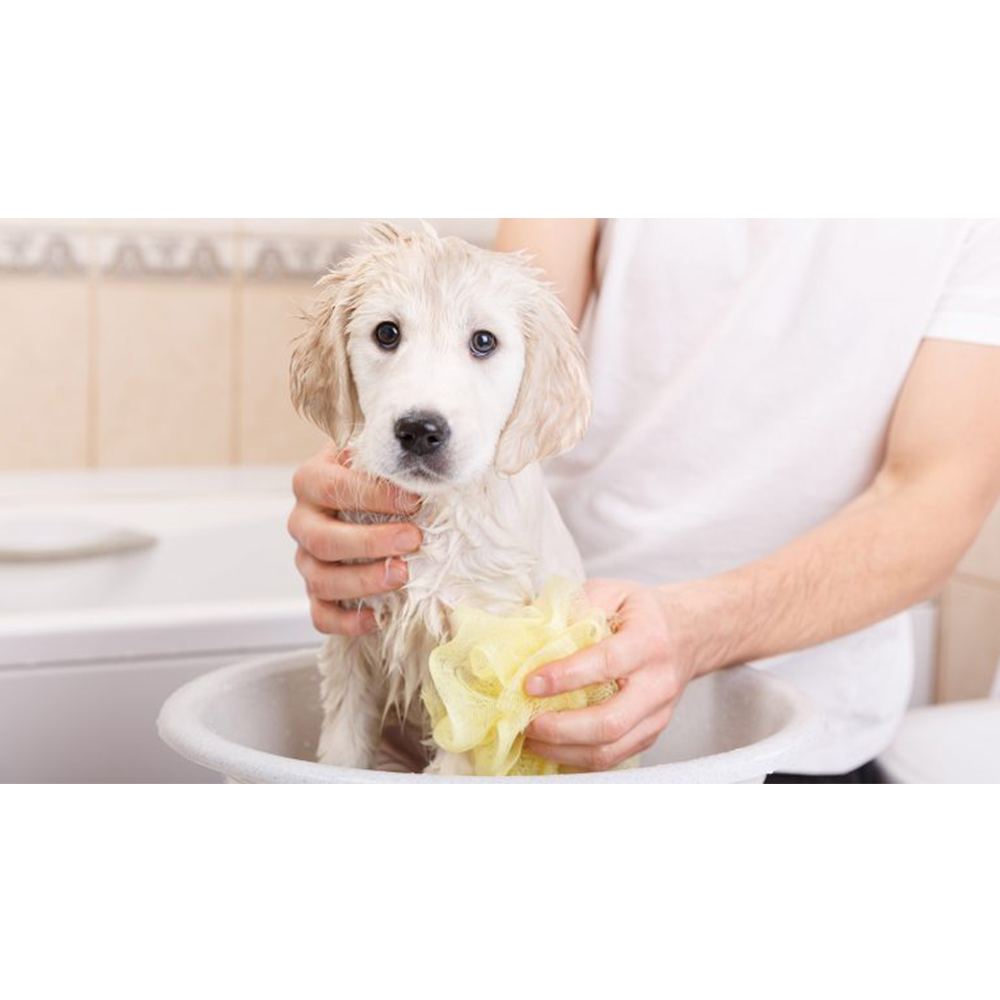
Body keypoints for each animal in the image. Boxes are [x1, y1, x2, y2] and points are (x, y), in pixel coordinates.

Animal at [290, 225, 588, 772]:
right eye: (387, 333)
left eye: (484, 341)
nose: (420, 430)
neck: (436, 512)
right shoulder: (352, 630)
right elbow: (343, 740)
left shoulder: (477, 652)